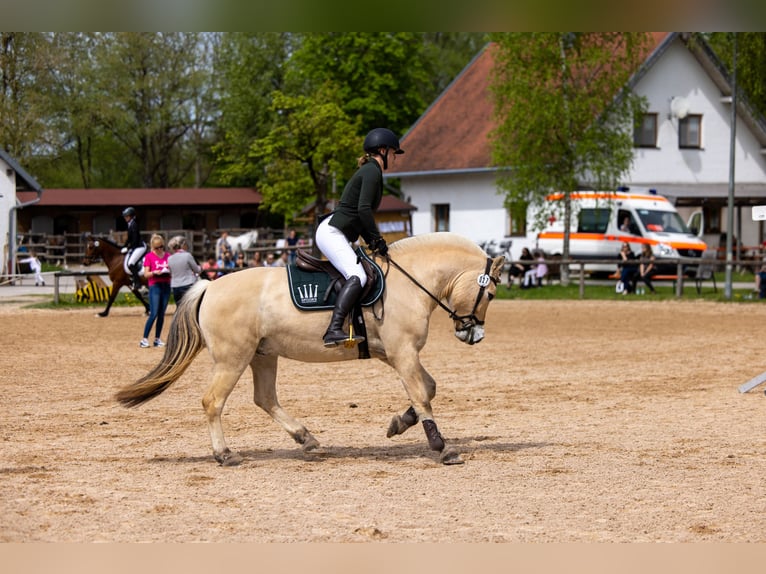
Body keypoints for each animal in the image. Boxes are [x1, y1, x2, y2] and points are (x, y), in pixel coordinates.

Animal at [115, 233, 505, 466]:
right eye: (491, 293)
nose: (473, 334)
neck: (409, 281)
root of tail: (209, 287)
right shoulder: (403, 353)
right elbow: (423, 394)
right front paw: (442, 448)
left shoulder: (397, 354)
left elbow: (428, 388)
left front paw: (398, 424)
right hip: (232, 359)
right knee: (213, 401)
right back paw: (225, 454)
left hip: (262, 355)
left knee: (265, 399)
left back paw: (307, 439)